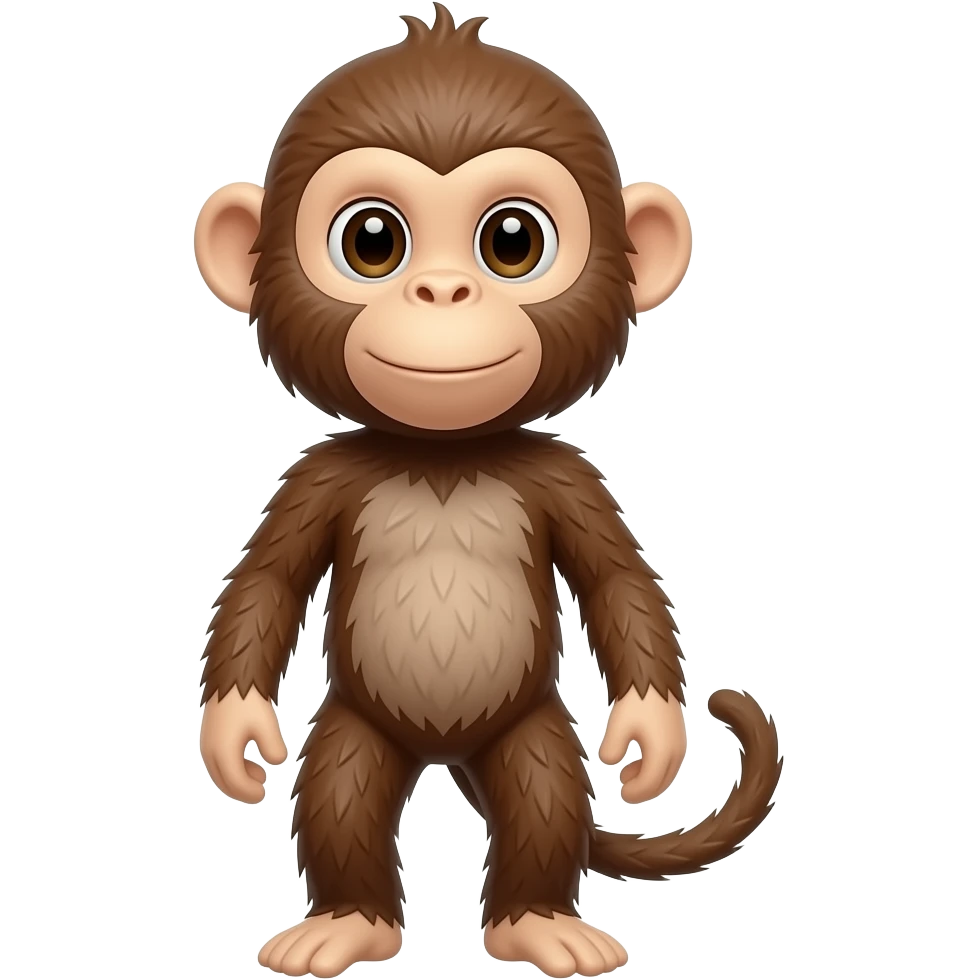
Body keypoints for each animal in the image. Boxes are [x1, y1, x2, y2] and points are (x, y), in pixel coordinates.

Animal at [194, 6, 781, 979]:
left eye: (513, 241)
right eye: (372, 242)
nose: (443, 289)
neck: (444, 456)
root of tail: (446, 752)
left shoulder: (571, 479)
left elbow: (620, 583)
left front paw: (650, 736)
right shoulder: (313, 478)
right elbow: (267, 586)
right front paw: (233, 733)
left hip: (530, 727)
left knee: (544, 790)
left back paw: (537, 922)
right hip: (358, 726)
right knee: (343, 786)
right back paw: (347, 921)